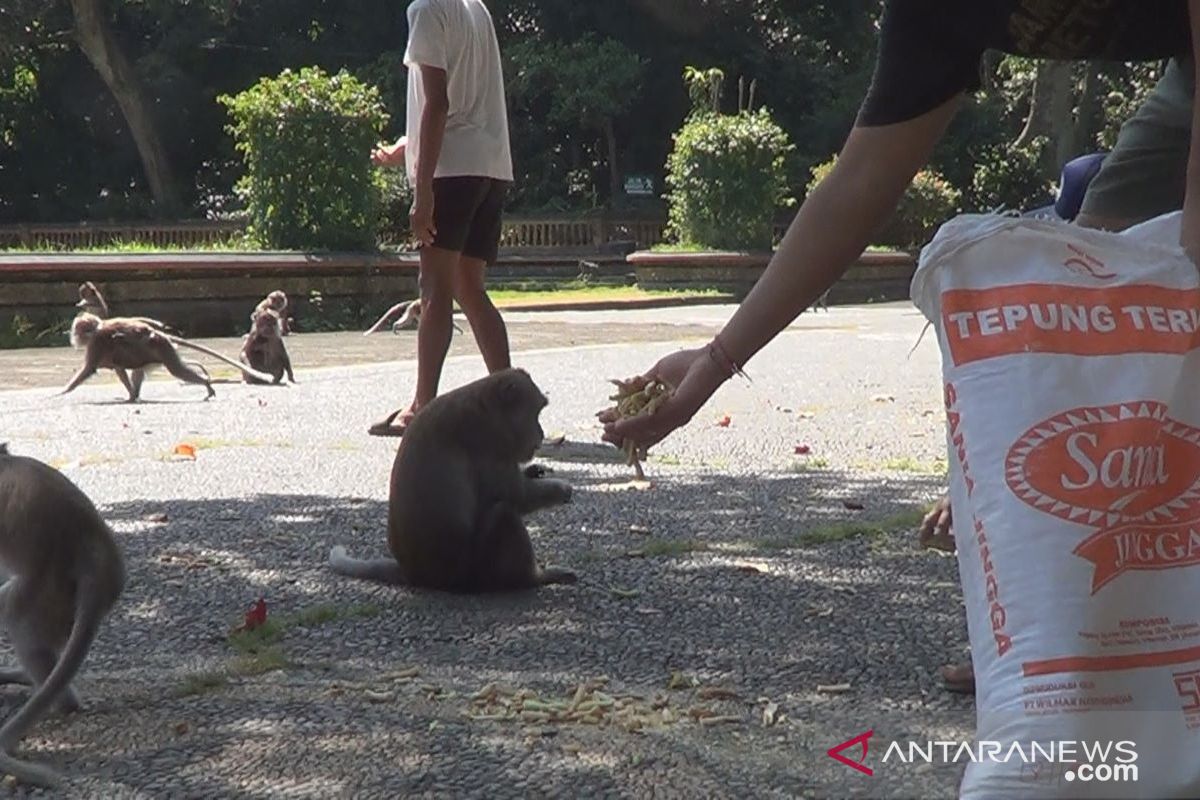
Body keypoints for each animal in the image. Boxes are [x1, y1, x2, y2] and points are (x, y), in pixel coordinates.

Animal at [326, 369, 573, 594]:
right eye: (535, 413)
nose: (541, 434)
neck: (487, 406)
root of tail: (413, 574)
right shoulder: (489, 443)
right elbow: (518, 497)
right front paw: (563, 489)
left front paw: (534, 471)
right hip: (473, 571)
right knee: (503, 513)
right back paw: (534, 578)